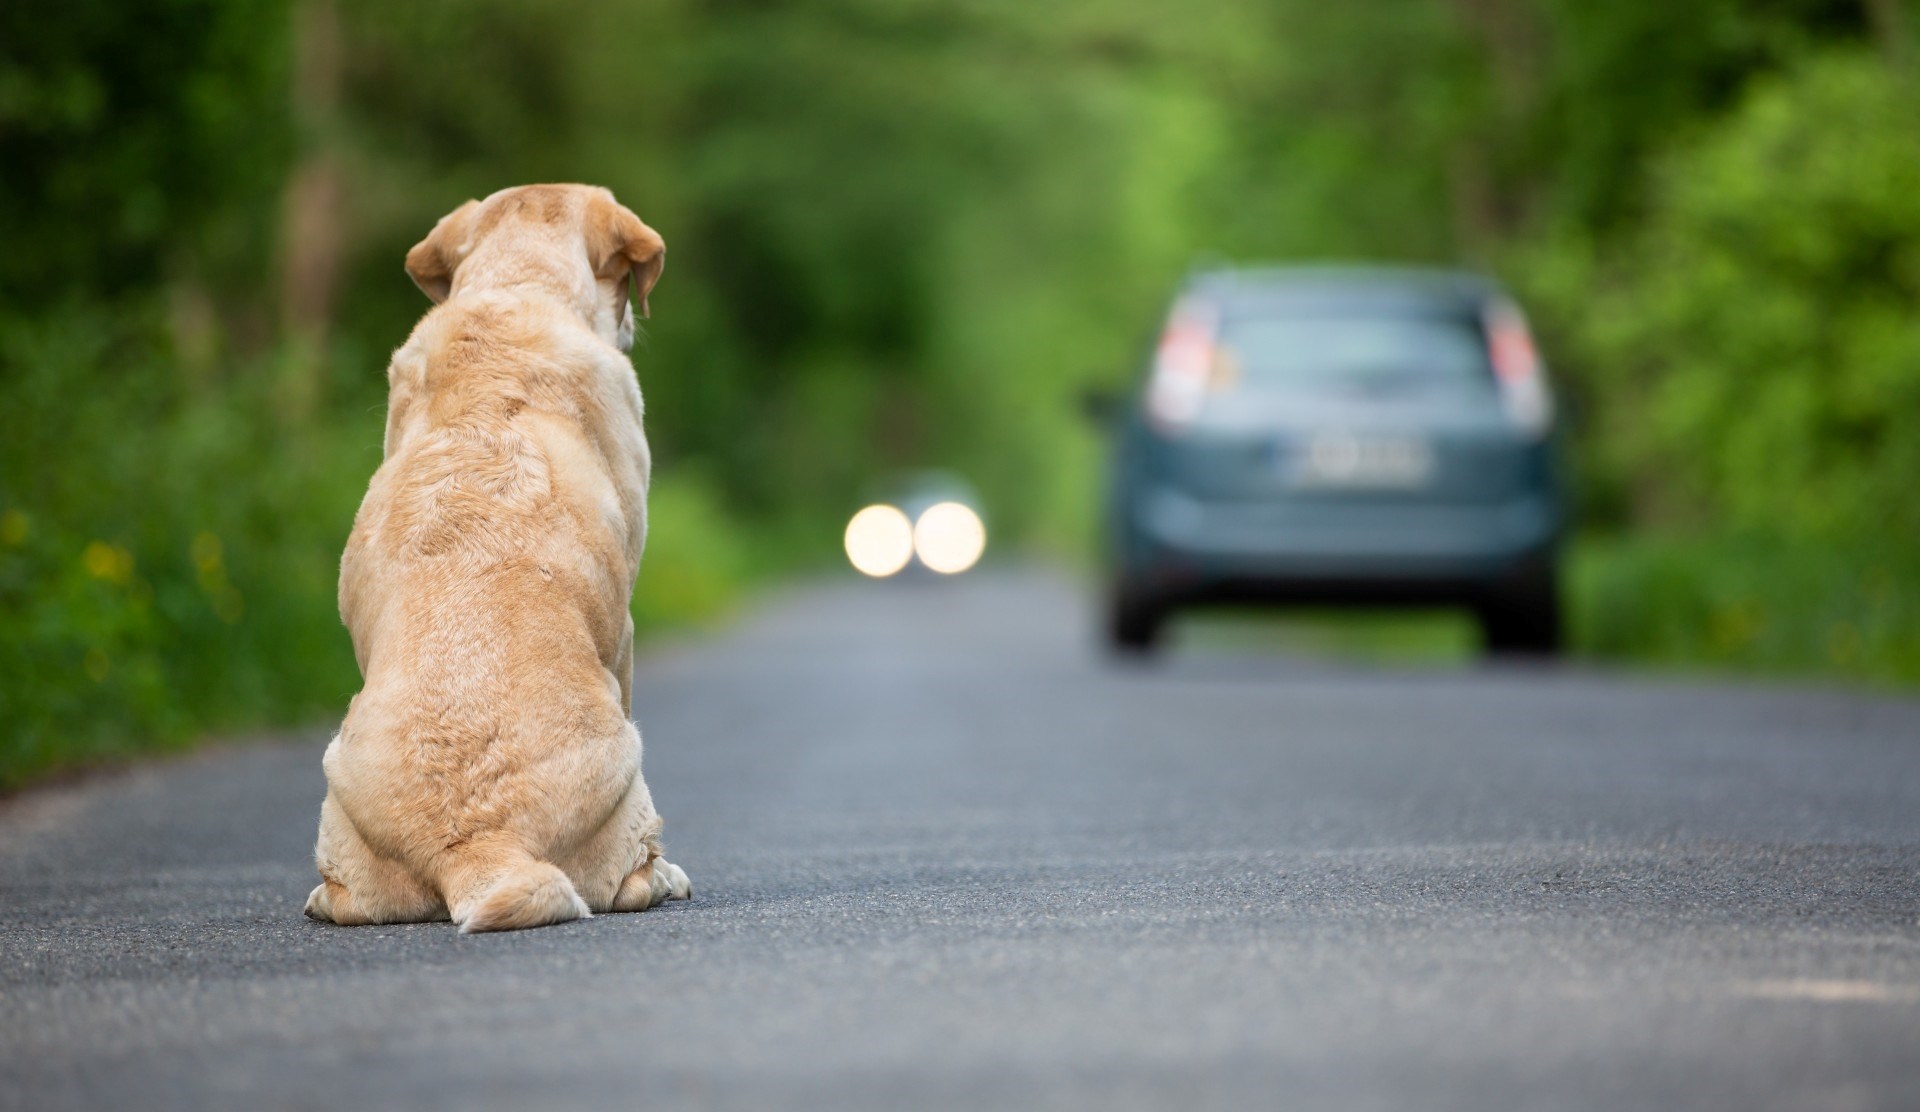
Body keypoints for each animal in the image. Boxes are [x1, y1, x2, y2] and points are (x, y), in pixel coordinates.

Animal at [299, 182, 691, 929]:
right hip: (629, 770)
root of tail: (479, 843)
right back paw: (664, 877)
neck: (516, 287)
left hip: (338, 795)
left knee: (345, 899)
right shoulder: (624, 628)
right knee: (630, 876)